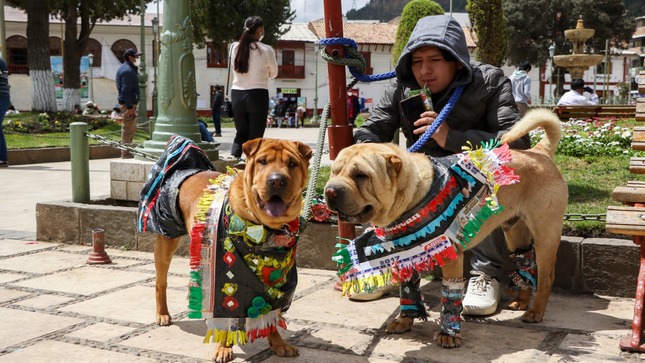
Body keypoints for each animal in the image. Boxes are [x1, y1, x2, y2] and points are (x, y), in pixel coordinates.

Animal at [149, 138, 314, 362]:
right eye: (263, 161)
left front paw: (278, 343)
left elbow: (271, 313)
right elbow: (225, 313)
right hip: (167, 239)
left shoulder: (276, 279)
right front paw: (223, 347)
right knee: (161, 281)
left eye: (292, 164)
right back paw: (163, 314)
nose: (277, 181)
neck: (265, 229)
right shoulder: (225, 278)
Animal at [324, 109, 568, 348]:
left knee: (547, 276)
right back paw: (521, 301)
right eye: (334, 171)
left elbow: (450, 297)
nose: (330, 192)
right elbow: (408, 290)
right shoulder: (406, 254)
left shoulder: (451, 258)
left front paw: (448, 334)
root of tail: (540, 151)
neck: (412, 194)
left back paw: (536, 312)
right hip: (514, 233)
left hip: (545, 235)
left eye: (361, 175)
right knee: (526, 262)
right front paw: (404, 320)